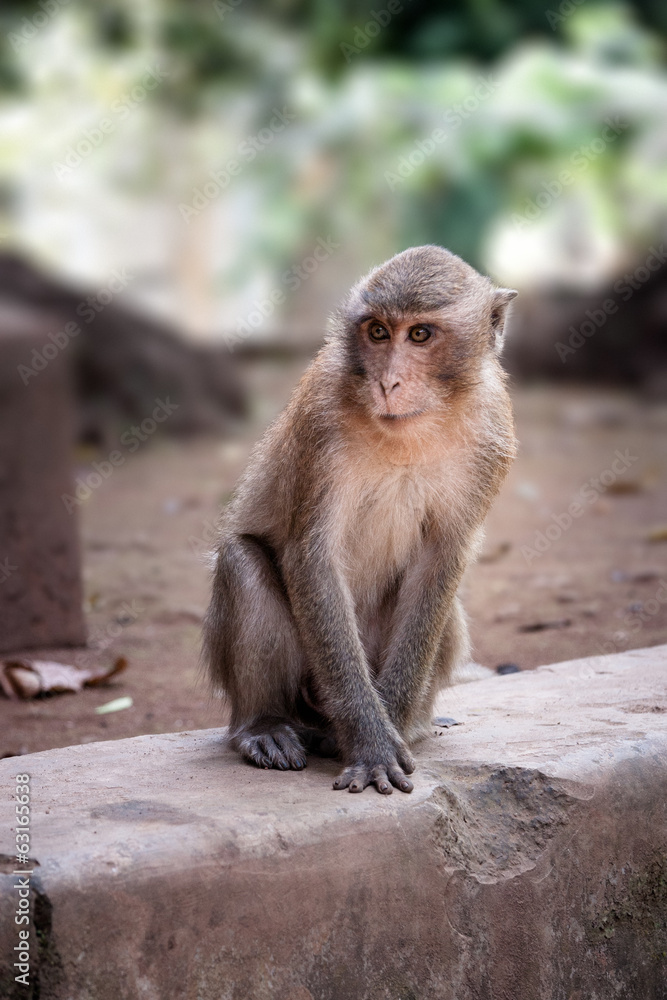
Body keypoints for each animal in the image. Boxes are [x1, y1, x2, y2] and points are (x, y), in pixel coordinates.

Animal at [203, 245, 517, 794]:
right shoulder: (320, 418)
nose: (387, 381)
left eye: (420, 334)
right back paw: (264, 726)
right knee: (242, 561)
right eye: (377, 332)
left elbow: (441, 562)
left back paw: (411, 724)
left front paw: (388, 726)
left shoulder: (492, 432)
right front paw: (370, 743)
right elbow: (312, 557)